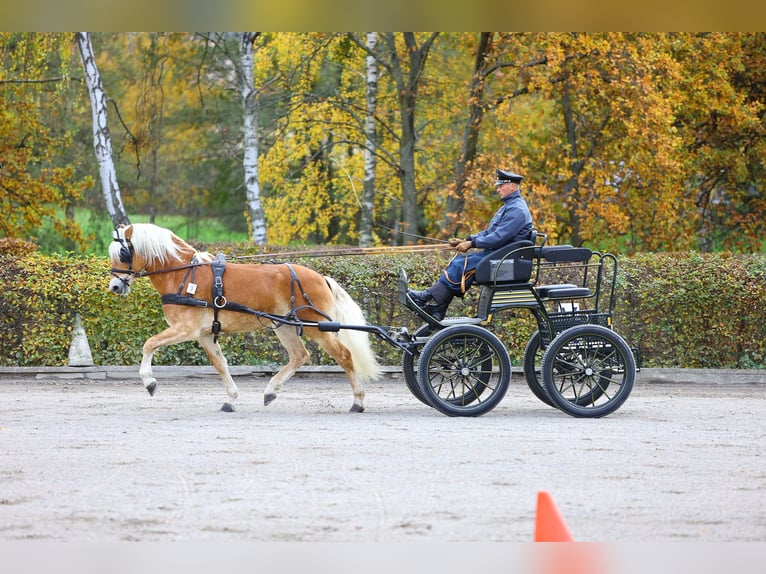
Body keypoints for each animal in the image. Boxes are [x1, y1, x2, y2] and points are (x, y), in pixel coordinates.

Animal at [108, 225, 384, 414]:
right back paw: (271, 391)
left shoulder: (185, 329)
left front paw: (149, 382)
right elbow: (220, 365)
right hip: (284, 326)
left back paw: (358, 401)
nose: (114, 286)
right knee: (299, 356)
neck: (184, 275)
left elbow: (149, 344)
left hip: (318, 328)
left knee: (344, 356)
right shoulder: (205, 334)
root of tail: (321, 277)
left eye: (123, 252)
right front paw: (230, 399)